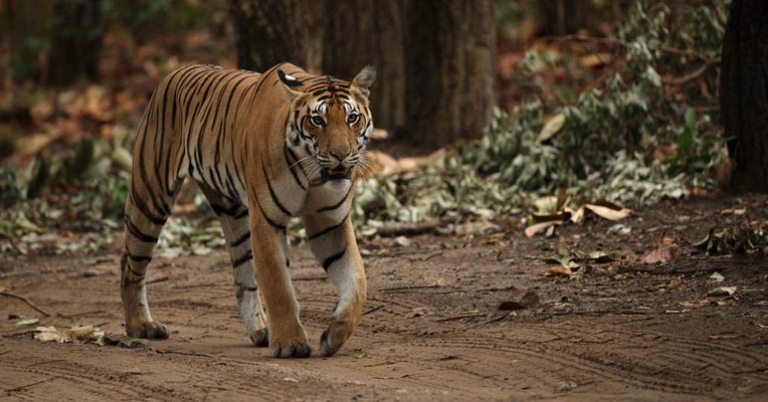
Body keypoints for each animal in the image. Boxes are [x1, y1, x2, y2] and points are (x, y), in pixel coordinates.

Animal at [120, 62, 375, 358]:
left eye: (352, 118)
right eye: (318, 120)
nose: (340, 155)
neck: (313, 174)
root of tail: (174, 72)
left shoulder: (329, 222)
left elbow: (357, 284)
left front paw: (333, 335)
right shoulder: (266, 218)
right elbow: (278, 285)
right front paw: (290, 343)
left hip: (233, 213)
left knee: (243, 276)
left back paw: (260, 329)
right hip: (151, 197)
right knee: (130, 263)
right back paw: (141, 326)